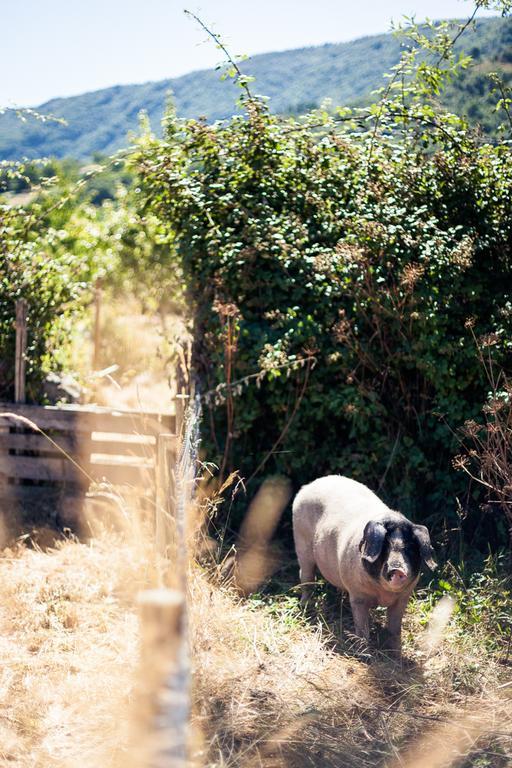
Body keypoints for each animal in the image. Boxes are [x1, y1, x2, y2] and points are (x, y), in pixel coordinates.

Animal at [292, 476, 436, 652]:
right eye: (385, 548)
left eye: (409, 548)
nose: (397, 569)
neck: (384, 594)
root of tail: (308, 486)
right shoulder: (358, 596)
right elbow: (362, 628)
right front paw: (364, 653)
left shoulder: (403, 598)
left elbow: (395, 628)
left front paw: (396, 652)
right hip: (301, 543)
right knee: (306, 577)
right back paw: (306, 606)